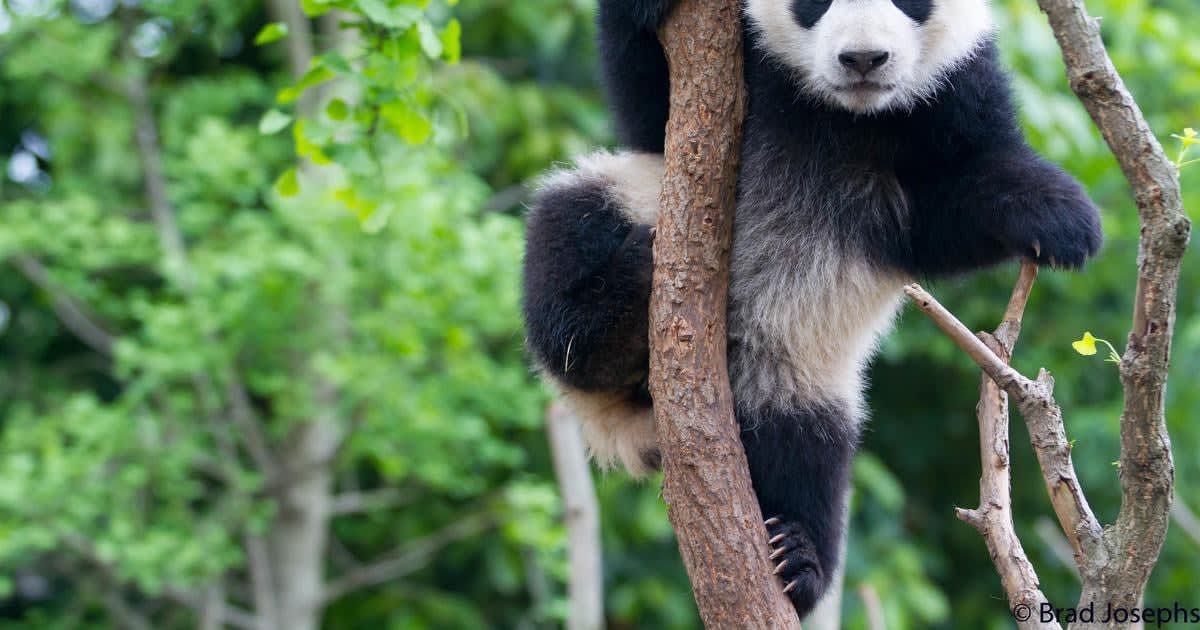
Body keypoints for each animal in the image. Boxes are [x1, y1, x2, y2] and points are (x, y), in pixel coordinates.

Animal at [522, 0, 1102, 618]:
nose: (864, 59)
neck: (847, 116)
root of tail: (635, 408)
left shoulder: (953, 92)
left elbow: (953, 205)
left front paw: (1061, 218)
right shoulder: (735, 83)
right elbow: (649, 111)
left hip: (795, 376)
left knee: (805, 452)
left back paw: (798, 560)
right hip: (622, 199)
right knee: (565, 238)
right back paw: (614, 314)